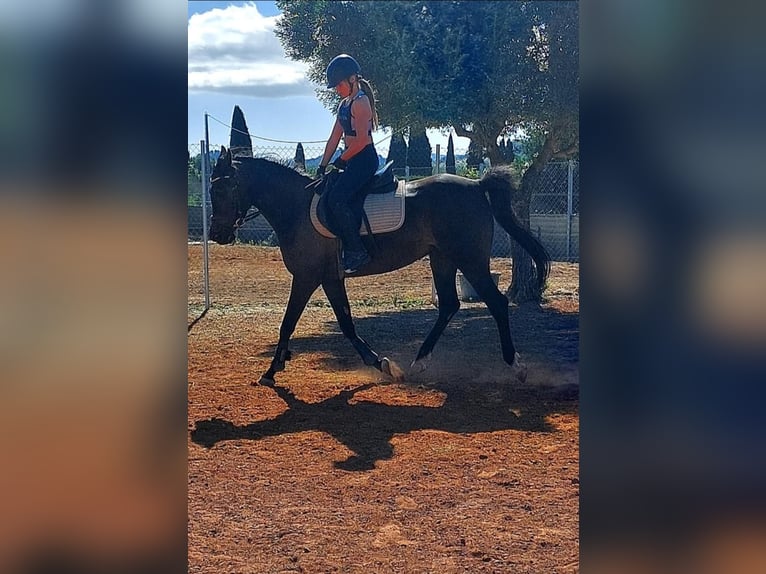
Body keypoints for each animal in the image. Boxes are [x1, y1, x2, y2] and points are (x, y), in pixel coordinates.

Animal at [208, 145, 550, 385]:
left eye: (221, 189)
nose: (217, 235)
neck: (297, 207)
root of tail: (477, 184)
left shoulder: (307, 277)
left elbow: (288, 322)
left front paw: (271, 370)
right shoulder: (330, 278)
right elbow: (345, 323)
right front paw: (382, 364)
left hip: (470, 260)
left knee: (496, 302)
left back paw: (516, 366)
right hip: (442, 258)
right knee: (449, 305)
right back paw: (420, 361)